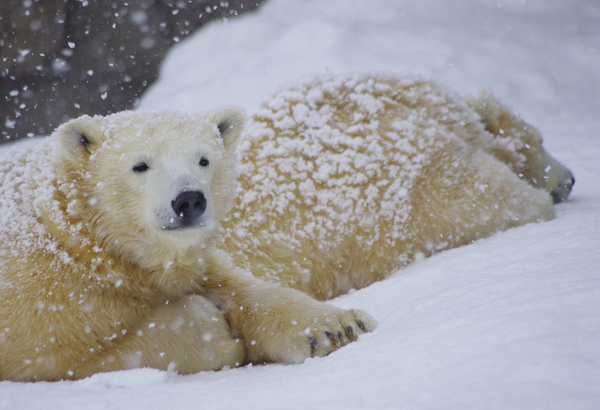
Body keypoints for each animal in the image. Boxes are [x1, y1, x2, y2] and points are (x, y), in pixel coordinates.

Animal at [0, 109, 376, 382]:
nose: (189, 200)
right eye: (140, 165)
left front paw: (338, 327)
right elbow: (72, 353)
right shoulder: (48, 306)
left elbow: (245, 288)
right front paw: (219, 332)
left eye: (204, 159)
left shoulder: (191, 263)